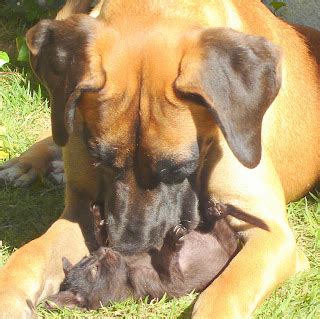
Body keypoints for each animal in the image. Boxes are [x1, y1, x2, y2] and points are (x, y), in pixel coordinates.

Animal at [0, 0, 320, 319]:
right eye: (100, 160)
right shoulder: (79, 209)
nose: (128, 250)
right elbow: (29, 254)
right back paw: (28, 164)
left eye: (179, 169)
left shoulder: (271, 233)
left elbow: (223, 293)